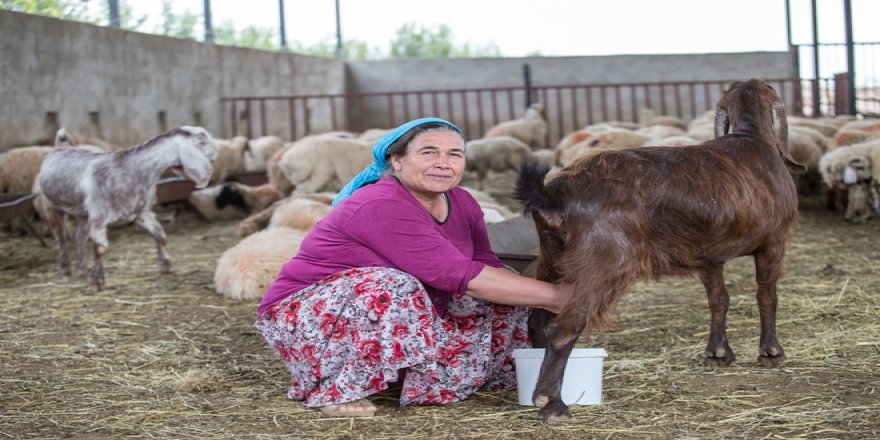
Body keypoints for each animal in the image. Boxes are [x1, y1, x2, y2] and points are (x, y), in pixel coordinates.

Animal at [512, 80, 808, 422]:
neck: (752, 138)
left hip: (552, 257)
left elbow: (719, 299)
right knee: (561, 328)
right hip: (604, 262)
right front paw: (772, 352)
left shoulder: (710, 254)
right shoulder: (774, 242)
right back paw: (552, 403)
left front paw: (717, 353)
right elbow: (767, 295)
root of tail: (553, 194)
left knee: (538, 320)